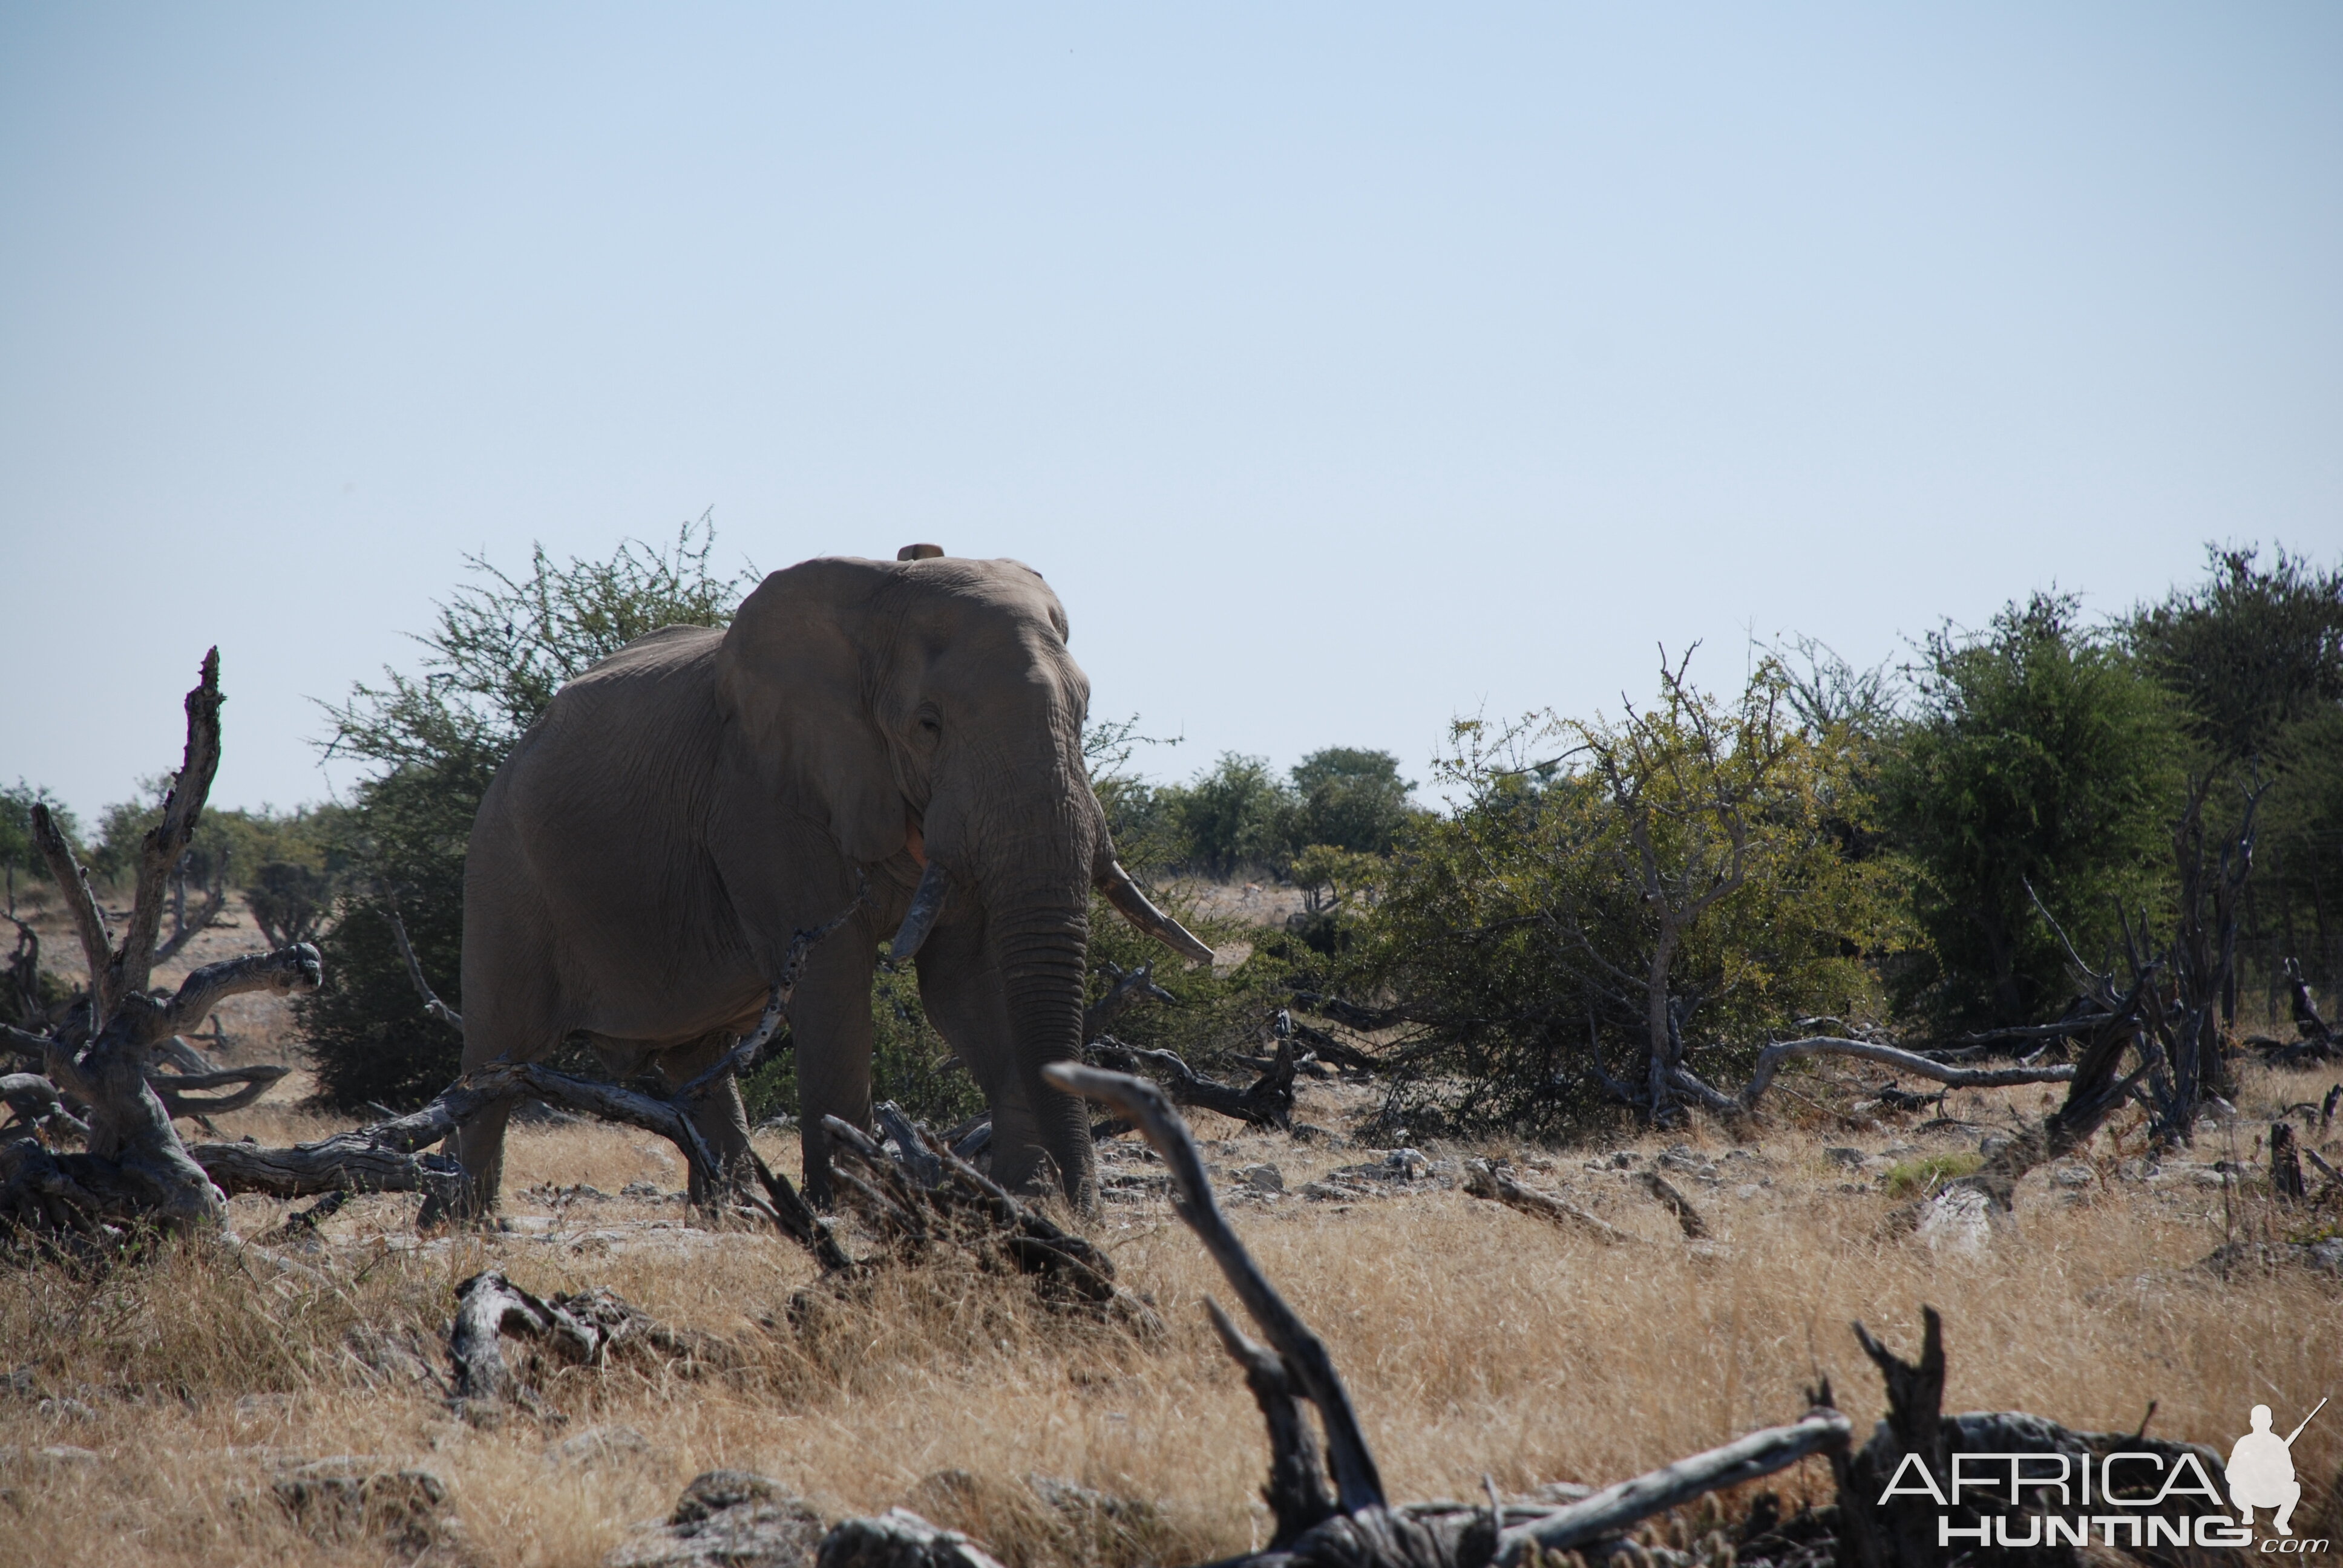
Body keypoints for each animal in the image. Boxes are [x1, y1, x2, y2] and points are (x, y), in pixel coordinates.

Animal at [442, 550, 1208, 1209]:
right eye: (927, 724)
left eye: (1083, 713)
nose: (1086, 1211)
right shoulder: (763, 798)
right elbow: (833, 984)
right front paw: (851, 1211)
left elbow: (967, 984)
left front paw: (1028, 1207)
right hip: (502, 866)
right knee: (494, 1061)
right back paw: (461, 1226)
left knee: (696, 1067)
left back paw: (732, 1217)